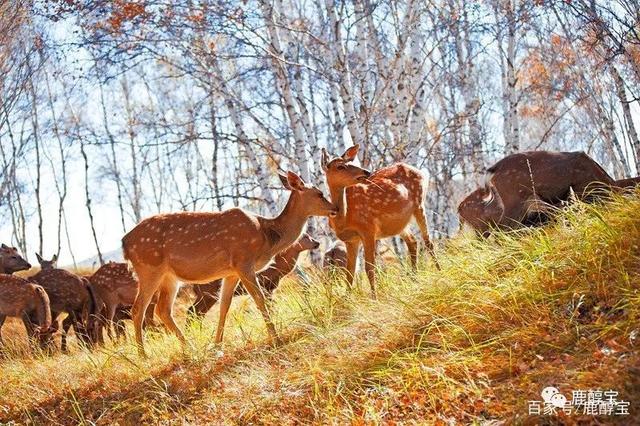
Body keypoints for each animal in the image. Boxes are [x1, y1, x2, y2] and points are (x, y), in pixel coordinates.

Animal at [189, 231, 320, 318]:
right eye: (305, 236)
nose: (317, 243)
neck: (276, 268)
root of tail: (193, 285)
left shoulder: (270, 288)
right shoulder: (264, 285)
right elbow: (269, 306)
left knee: (196, 313)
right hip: (207, 294)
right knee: (192, 311)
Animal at [320, 145, 440, 298]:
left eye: (351, 162)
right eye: (340, 166)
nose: (366, 172)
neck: (344, 219)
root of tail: (421, 172)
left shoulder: (368, 230)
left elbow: (369, 268)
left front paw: (374, 298)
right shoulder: (351, 240)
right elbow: (350, 272)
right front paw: (347, 298)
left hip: (419, 204)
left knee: (428, 242)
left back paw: (439, 271)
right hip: (400, 223)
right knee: (413, 241)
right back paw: (415, 279)